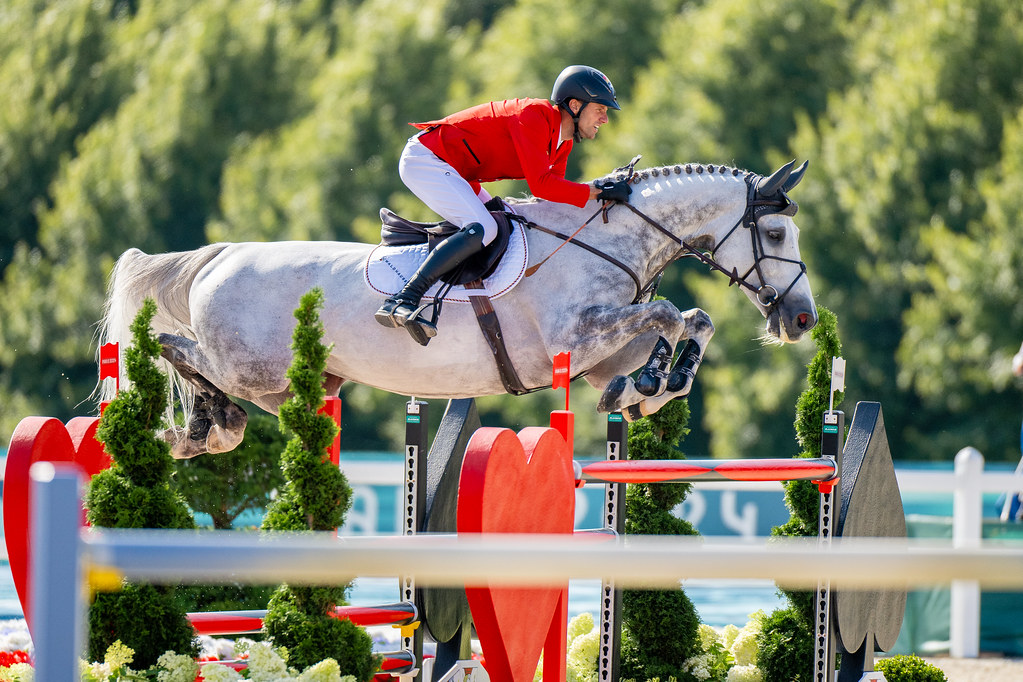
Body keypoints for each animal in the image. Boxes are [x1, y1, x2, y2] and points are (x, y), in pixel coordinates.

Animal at [96, 160, 814, 458]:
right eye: (777, 235)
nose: (802, 319)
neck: (607, 239)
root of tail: (219, 255)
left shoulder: (600, 354)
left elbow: (691, 322)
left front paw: (651, 386)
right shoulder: (576, 337)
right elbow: (665, 312)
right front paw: (650, 383)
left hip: (304, 383)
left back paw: (203, 429)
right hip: (254, 370)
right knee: (179, 351)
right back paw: (202, 427)